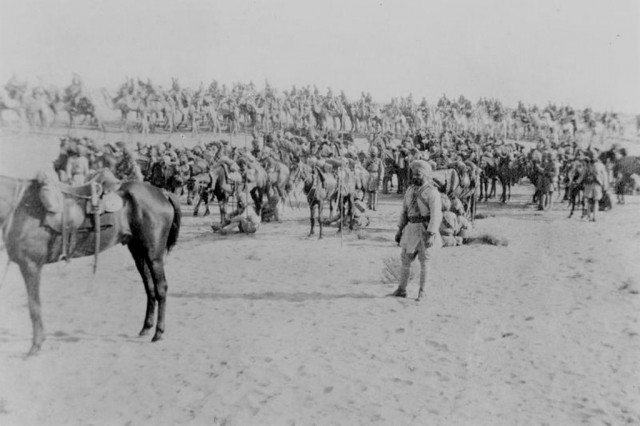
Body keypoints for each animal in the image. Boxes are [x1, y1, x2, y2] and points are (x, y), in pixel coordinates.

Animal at [0, 176, 180, 356]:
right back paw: (146, 328)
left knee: (161, 288)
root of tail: (162, 192)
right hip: (138, 252)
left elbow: (34, 306)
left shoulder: (31, 266)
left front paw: (35, 346)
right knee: (150, 288)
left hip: (153, 255)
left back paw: (158, 333)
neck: (20, 206)